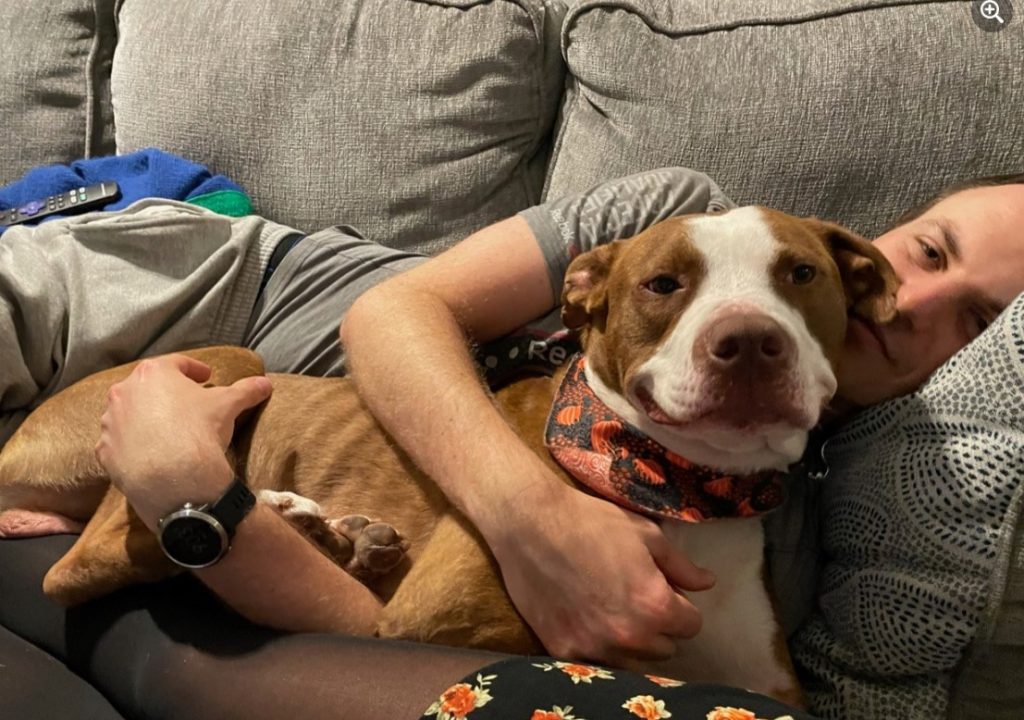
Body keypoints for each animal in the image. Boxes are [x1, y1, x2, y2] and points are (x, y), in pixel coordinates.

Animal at [0, 206, 897, 704]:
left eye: (803, 272)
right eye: (663, 284)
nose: (747, 341)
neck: (674, 489)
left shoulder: (773, 684)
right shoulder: (439, 619)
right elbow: (559, 646)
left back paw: (325, 531)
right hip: (218, 371)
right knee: (85, 561)